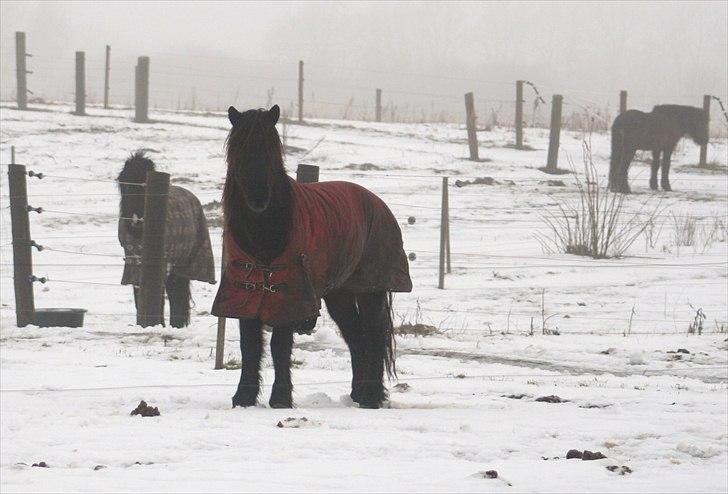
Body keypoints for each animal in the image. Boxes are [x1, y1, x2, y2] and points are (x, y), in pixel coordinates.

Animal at [117, 151, 216, 328]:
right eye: (126, 183)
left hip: (183, 262)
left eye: (145, 184)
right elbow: (138, 292)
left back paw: (177, 325)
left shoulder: (161, 263)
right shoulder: (133, 263)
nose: (136, 220)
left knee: (177, 293)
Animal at [213, 104, 412, 410]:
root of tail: (377, 202)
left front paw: (281, 399)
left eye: (272, 148)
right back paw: (357, 394)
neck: (264, 231)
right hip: (339, 294)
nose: (258, 198)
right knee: (356, 338)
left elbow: (279, 346)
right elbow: (250, 346)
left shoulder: (288, 294)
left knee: (374, 336)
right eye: (239, 149)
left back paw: (371, 397)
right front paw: (243, 398)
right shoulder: (245, 291)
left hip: (371, 289)